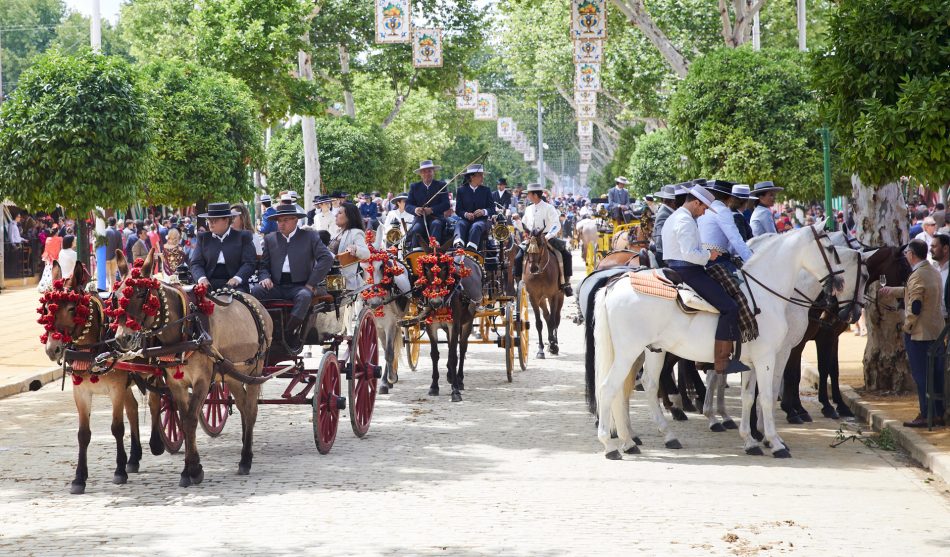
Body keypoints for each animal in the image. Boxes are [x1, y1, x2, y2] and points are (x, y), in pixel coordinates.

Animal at [106, 249, 274, 486]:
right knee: (242, 406)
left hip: (254, 370)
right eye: (116, 297)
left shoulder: (202, 381)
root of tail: (256, 303)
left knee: (250, 409)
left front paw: (193, 470)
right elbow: (184, 420)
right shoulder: (176, 383)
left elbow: (190, 419)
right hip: (231, 375)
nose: (123, 338)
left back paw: (246, 459)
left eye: (141, 294)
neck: (186, 329)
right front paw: (189, 469)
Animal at [410, 242, 480, 400]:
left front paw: (455, 390)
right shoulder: (431, 326)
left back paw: (459, 379)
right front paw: (434, 386)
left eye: (443, 268)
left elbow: (453, 355)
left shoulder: (454, 324)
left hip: (467, 322)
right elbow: (435, 355)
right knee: (450, 346)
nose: (435, 302)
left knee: (462, 348)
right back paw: (449, 375)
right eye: (426, 268)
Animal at [592, 224, 852, 458]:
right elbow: (766, 397)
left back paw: (641, 440)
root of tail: (614, 285)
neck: (763, 294)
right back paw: (610, 445)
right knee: (608, 388)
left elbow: (749, 397)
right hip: (628, 352)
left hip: (652, 351)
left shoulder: (751, 362)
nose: (840, 284)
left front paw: (751, 441)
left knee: (642, 385)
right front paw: (776, 443)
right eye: (831, 248)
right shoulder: (767, 358)